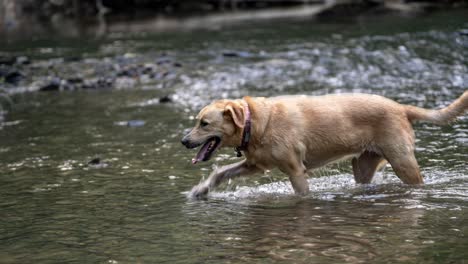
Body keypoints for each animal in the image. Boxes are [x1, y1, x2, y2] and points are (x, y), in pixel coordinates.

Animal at [181, 92, 466, 198]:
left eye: (204, 123)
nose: (184, 141)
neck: (256, 123)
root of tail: (401, 107)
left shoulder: (296, 171)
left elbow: (302, 193)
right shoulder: (255, 165)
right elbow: (221, 172)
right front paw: (200, 190)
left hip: (402, 162)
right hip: (363, 165)